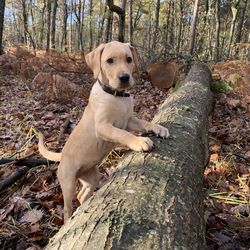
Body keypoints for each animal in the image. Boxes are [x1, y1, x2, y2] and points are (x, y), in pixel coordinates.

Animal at [37, 41, 170, 223]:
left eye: (129, 59)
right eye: (110, 61)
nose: (124, 77)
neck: (117, 96)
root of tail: (62, 155)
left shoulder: (129, 120)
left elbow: (144, 122)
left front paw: (159, 128)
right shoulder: (103, 126)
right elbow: (123, 134)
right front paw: (140, 141)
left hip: (92, 176)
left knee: (81, 195)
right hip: (68, 182)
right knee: (67, 207)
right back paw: (68, 220)